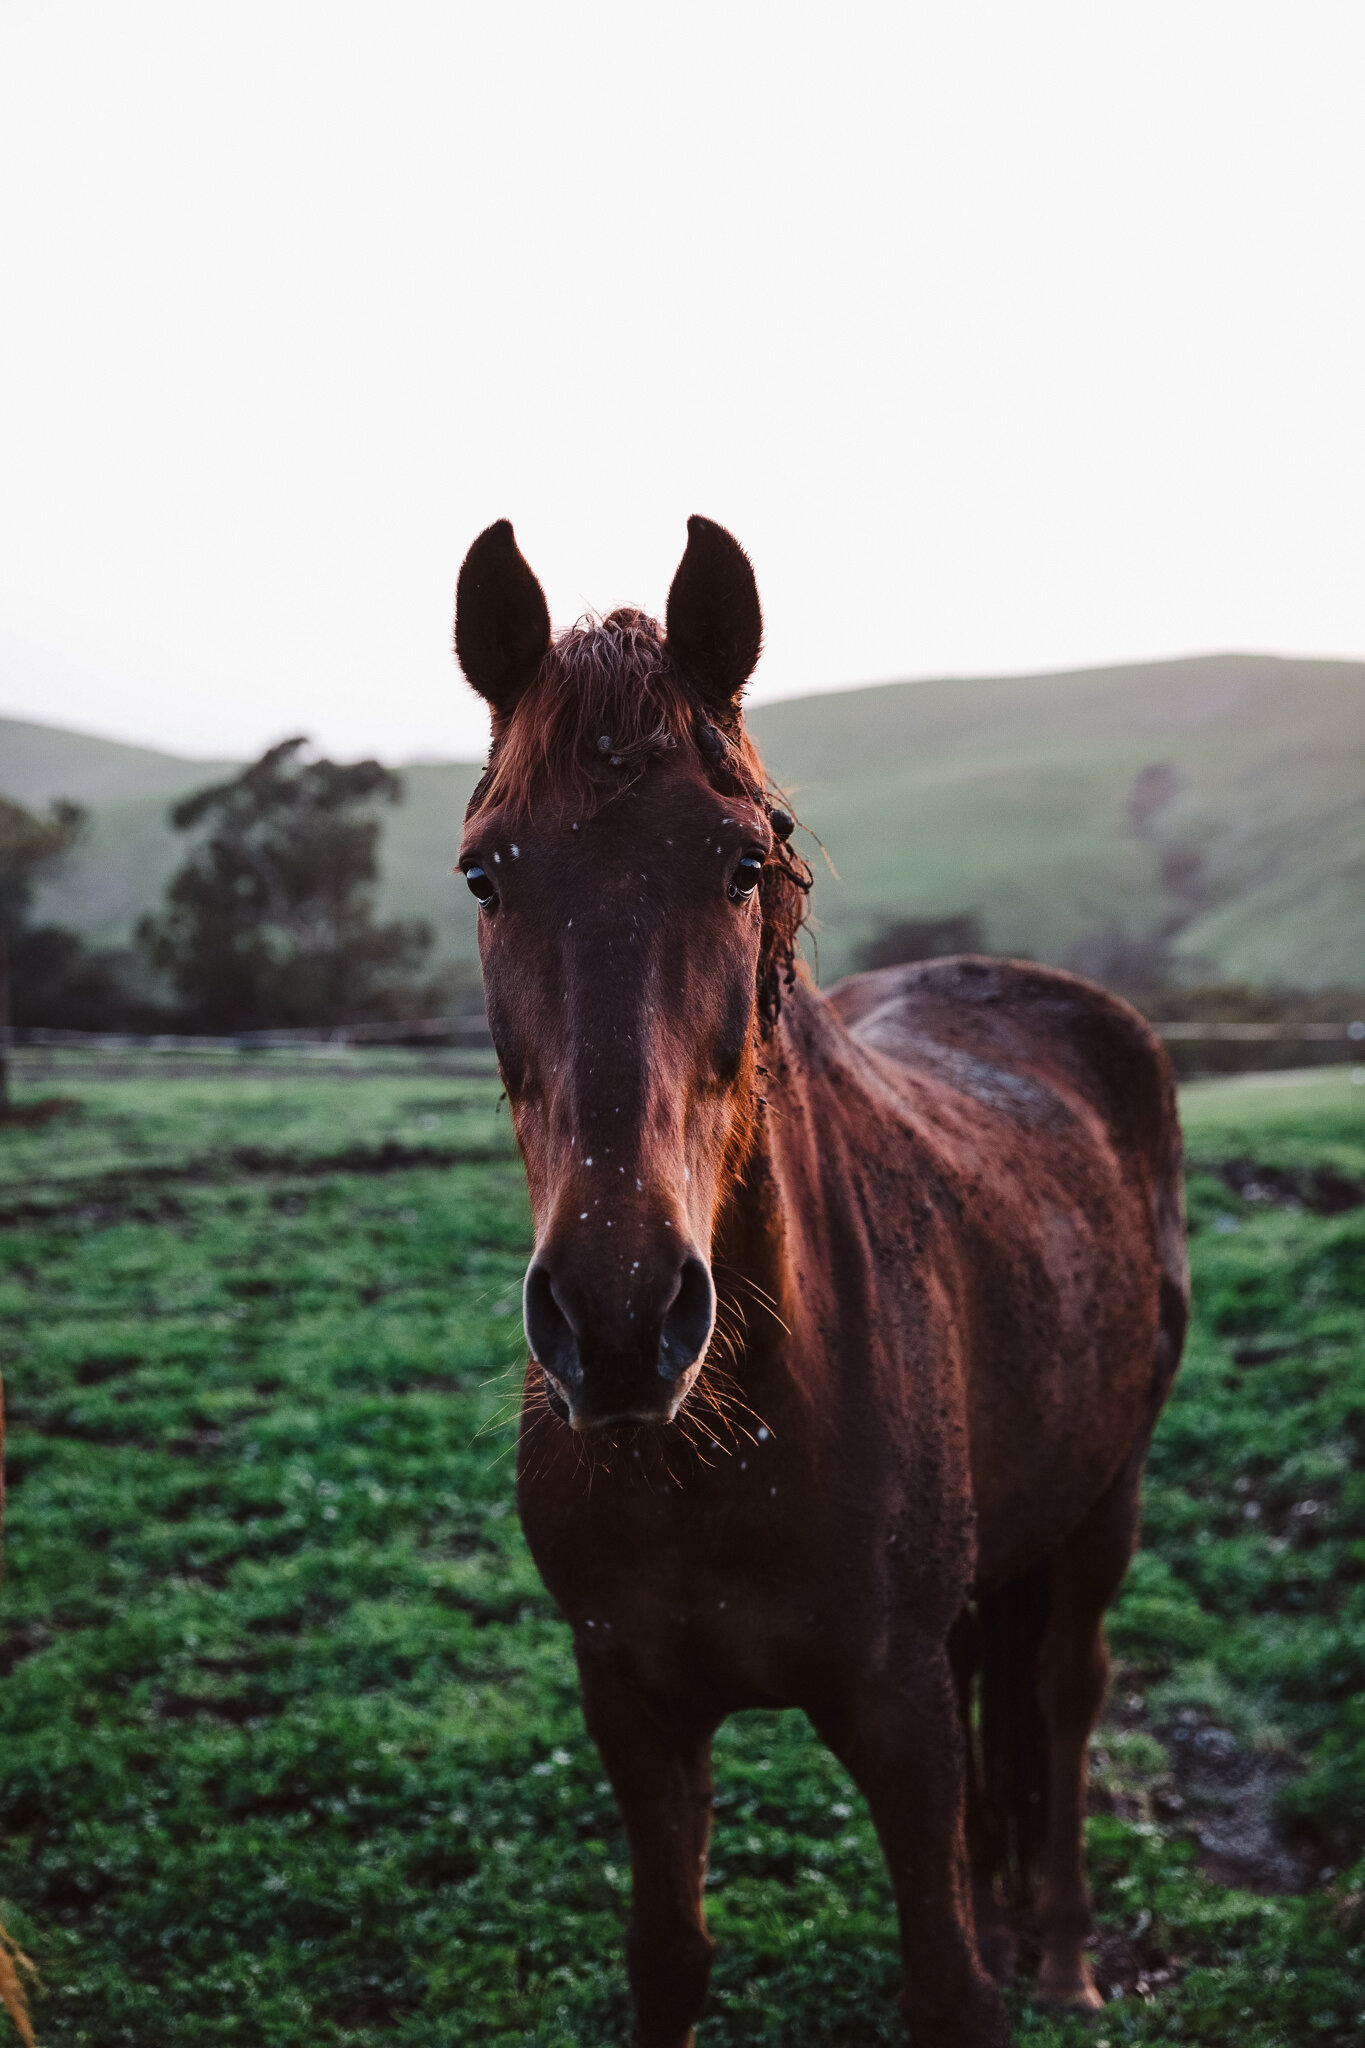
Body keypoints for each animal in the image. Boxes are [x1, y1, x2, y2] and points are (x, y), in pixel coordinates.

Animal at [450, 520, 1186, 2039]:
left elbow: (948, 1983)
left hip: (1107, 1499)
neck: (716, 1449)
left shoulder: (894, 1717)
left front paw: (1001, 1959)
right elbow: (669, 1955)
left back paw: (1064, 1954)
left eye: (742, 862)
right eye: (486, 875)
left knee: (1064, 1695)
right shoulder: (630, 1701)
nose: (620, 1318)